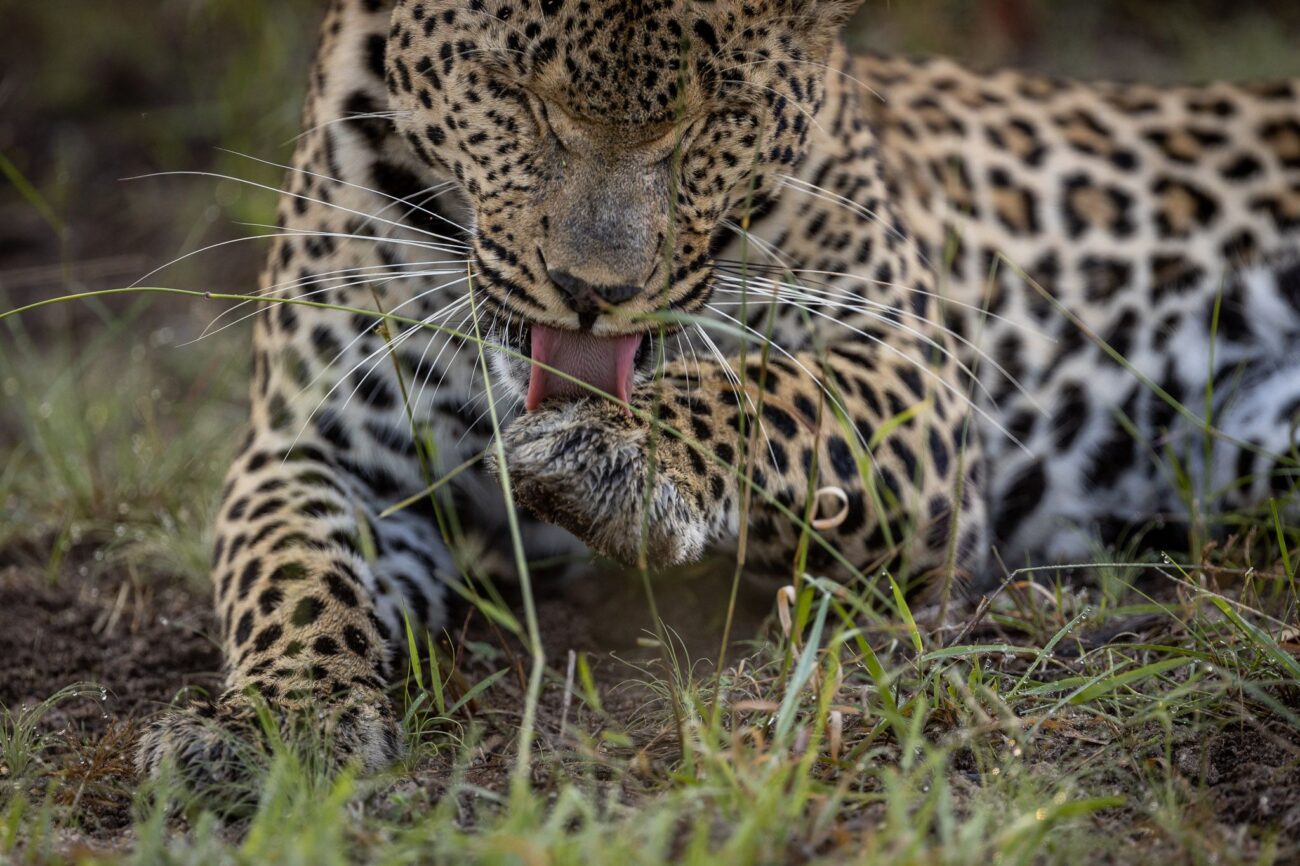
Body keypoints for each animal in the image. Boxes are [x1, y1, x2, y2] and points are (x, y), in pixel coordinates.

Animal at [134, 0, 1300, 780]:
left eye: (714, 115)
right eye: (514, 94)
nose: (594, 292)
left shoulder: (913, 369)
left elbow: (766, 389)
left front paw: (622, 451)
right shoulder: (313, 448)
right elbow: (291, 575)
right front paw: (275, 725)